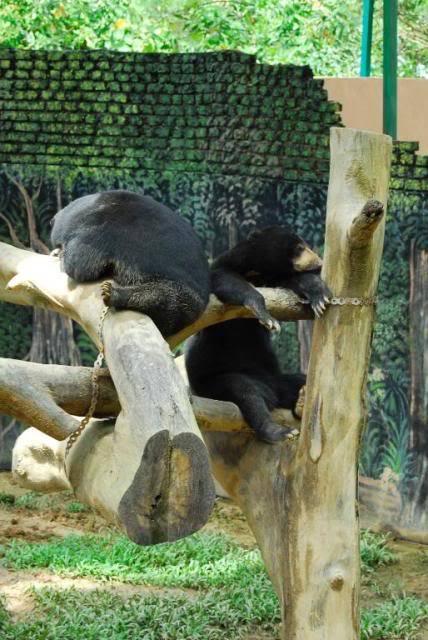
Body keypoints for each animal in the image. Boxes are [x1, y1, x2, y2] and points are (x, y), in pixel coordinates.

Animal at [50, 190, 211, 338]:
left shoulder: (99, 226)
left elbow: (79, 265)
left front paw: (61, 254)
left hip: (186, 296)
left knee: (164, 297)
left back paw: (116, 295)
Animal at [185, 226, 332, 444]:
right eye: (299, 247)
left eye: (305, 245)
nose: (319, 263)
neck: (260, 271)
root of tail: (272, 393)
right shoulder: (232, 262)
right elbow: (223, 277)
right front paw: (265, 315)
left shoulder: (275, 279)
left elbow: (295, 283)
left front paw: (319, 296)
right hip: (213, 380)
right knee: (246, 393)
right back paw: (279, 430)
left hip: (277, 379)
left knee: (301, 380)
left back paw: (302, 401)